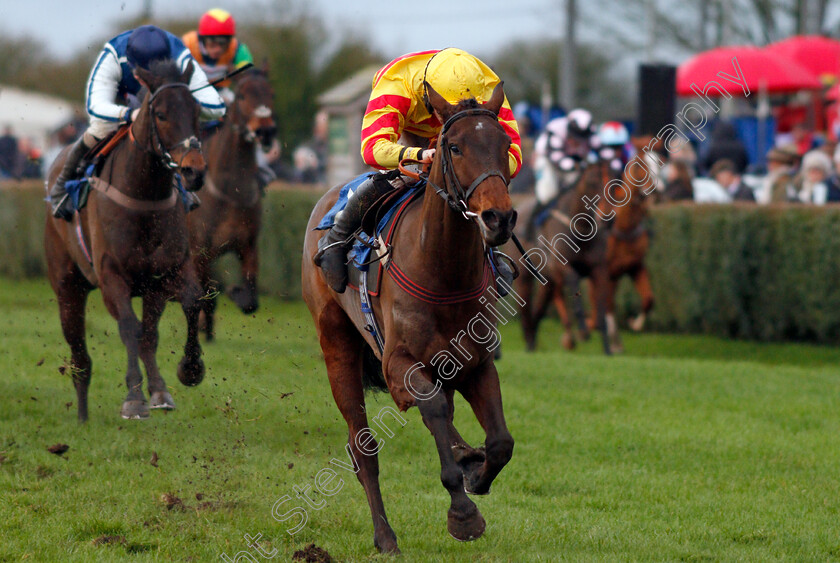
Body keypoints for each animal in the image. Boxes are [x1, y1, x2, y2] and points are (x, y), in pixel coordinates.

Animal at [45, 27, 220, 424]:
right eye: (161, 113)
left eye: (196, 111)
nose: (194, 171)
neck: (144, 196)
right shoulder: (112, 275)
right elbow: (128, 327)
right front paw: (134, 399)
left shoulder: (165, 272)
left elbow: (187, 306)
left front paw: (187, 371)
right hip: (67, 286)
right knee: (79, 351)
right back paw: (82, 413)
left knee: (147, 335)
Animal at [187, 67, 276, 340]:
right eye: (243, 95)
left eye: (271, 94)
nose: (266, 131)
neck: (231, 191)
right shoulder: (198, 249)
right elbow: (205, 293)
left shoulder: (248, 244)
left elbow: (250, 301)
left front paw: (236, 292)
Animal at [302, 47, 520, 556]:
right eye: (453, 147)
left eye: (503, 143)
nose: (498, 218)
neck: (443, 272)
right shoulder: (398, 364)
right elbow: (433, 409)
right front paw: (463, 513)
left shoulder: (476, 361)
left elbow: (500, 441)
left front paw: (476, 471)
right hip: (336, 345)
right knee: (362, 447)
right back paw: (385, 537)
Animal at [512, 156, 616, 354]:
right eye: (592, 181)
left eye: (616, 181)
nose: (607, 219)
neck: (582, 229)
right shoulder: (562, 266)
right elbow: (574, 281)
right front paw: (582, 331)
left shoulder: (600, 269)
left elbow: (600, 310)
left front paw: (608, 350)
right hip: (525, 277)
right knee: (526, 310)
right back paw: (530, 343)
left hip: (548, 281)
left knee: (539, 310)